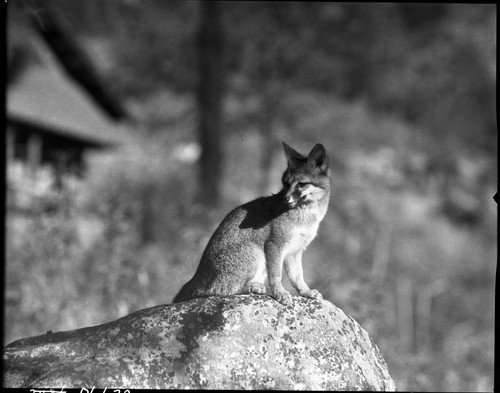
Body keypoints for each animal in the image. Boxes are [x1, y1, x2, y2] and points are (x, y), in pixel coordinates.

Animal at [174, 142, 330, 304]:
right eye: (285, 183)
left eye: (301, 184)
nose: (285, 198)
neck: (306, 216)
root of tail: (197, 275)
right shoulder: (274, 245)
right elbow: (276, 275)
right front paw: (279, 293)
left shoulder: (295, 251)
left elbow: (297, 277)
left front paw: (306, 292)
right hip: (256, 253)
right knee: (220, 290)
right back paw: (255, 287)